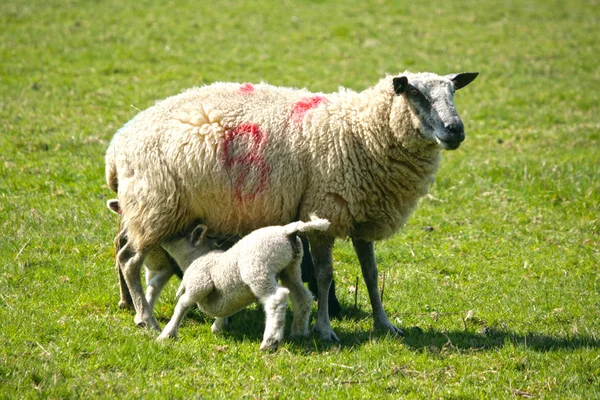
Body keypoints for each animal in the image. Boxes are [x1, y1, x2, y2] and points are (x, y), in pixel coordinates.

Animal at [152, 216, 326, 350]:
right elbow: (223, 310)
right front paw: (218, 327)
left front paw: (167, 334)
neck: (196, 258)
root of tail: (287, 230)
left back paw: (270, 342)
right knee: (303, 297)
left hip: (258, 269)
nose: (161, 238)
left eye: (179, 233)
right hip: (291, 268)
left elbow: (182, 305)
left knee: (277, 299)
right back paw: (299, 332)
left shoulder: (200, 283)